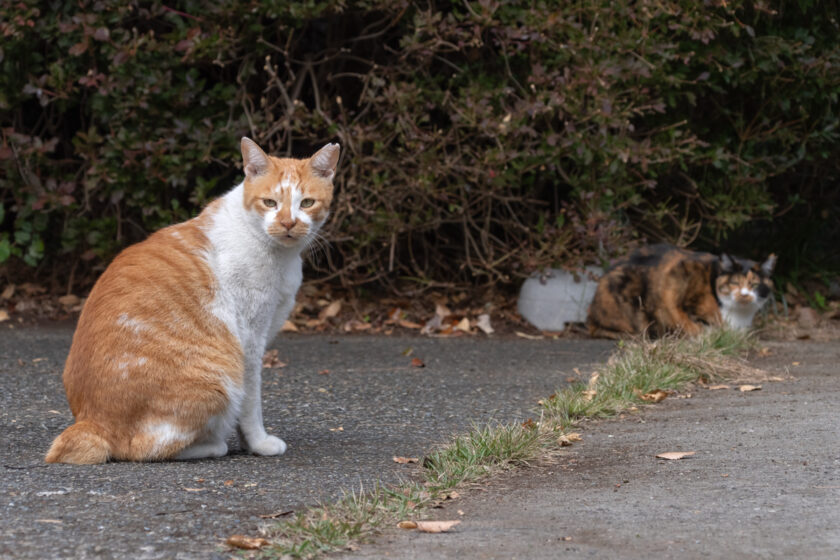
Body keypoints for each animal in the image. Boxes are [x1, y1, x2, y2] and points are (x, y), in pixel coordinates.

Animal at [46, 137, 340, 464]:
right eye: (270, 203)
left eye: (306, 203)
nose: (288, 223)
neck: (279, 254)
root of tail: (90, 421)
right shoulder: (250, 340)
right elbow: (251, 404)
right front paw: (259, 443)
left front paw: (247, 443)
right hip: (220, 377)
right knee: (144, 448)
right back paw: (212, 445)